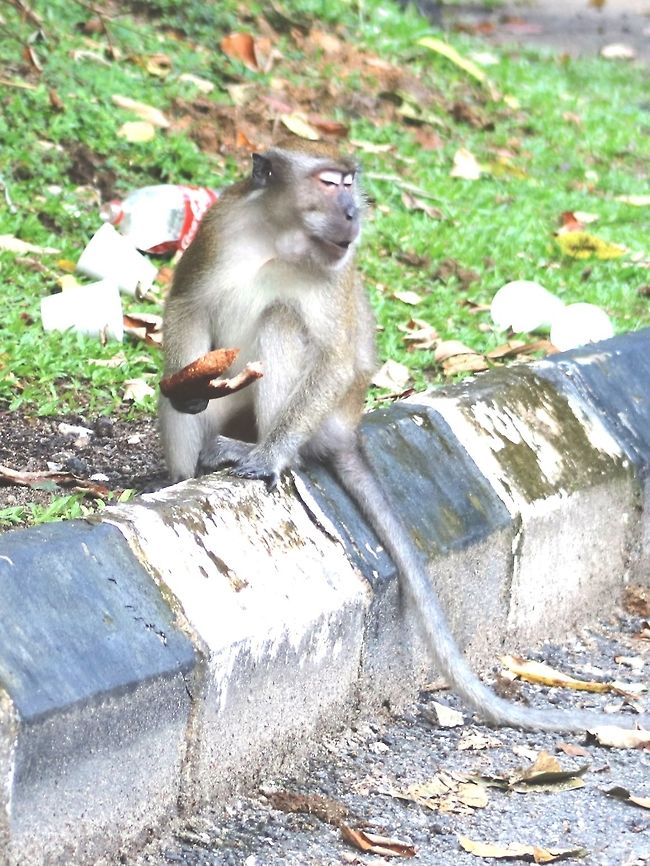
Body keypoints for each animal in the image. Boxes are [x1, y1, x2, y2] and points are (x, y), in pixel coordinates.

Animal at [159, 138, 648, 734]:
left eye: (350, 181)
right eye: (330, 183)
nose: (354, 211)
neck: (278, 238)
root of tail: (348, 427)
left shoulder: (335, 275)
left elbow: (336, 356)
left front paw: (270, 457)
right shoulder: (220, 226)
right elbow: (187, 304)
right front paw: (186, 389)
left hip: (322, 415)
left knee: (283, 322)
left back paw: (260, 449)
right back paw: (179, 477)